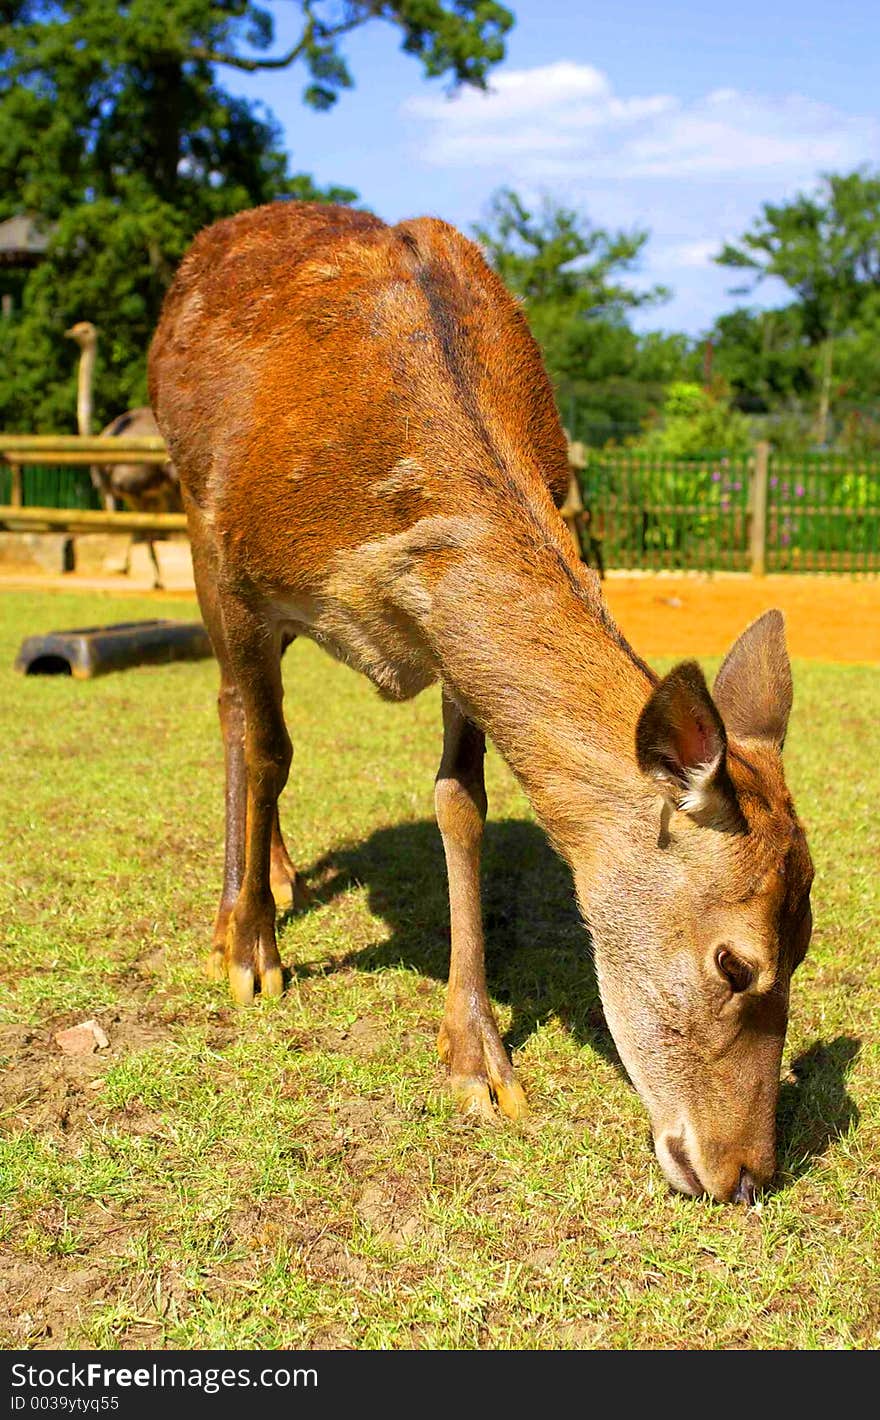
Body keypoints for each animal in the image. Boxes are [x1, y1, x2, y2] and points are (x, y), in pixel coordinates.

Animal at [147, 203, 811, 1198]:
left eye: (806, 946)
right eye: (736, 963)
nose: (745, 1173)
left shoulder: (451, 646)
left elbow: (460, 804)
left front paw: (476, 1059)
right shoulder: (239, 565)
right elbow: (266, 745)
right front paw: (250, 953)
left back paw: (284, 870)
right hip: (189, 511)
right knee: (237, 712)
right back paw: (248, 904)